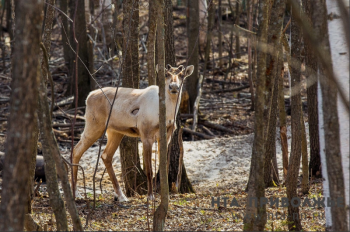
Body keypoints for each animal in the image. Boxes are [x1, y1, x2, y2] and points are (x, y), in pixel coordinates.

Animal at [72, 64, 196, 201]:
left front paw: (166, 195)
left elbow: (163, 165)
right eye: (166, 74)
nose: (173, 87)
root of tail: (88, 97)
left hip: (114, 131)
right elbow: (149, 170)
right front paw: (150, 196)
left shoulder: (167, 135)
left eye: (182, 75)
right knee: (76, 150)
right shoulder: (146, 134)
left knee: (106, 155)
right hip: (94, 125)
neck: (167, 113)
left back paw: (121, 196)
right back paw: (76, 193)